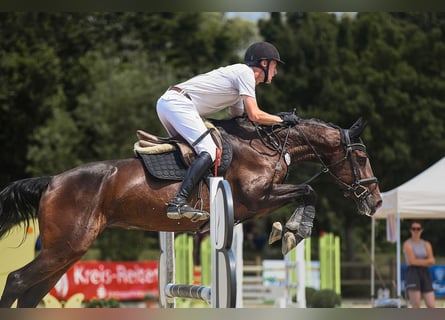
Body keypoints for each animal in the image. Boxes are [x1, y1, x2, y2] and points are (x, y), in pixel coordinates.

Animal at [0, 115, 382, 308]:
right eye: (362, 157)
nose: (376, 201)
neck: (268, 148)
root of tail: (52, 182)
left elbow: (305, 191)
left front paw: (286, 231)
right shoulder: (256, 198)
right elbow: (308, 190)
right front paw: (292, 231)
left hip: (69, 251)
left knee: (31, 293)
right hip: (65, 247)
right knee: (17, 281)